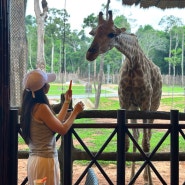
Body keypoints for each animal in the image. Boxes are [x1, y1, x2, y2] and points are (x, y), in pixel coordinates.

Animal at [85, 10, 162, 184]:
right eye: (94, 32)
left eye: (111, 34)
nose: (90, 54)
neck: (133, 60)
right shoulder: (124, 103)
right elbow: (126, 143)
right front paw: (129, 177)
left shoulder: (146, 104)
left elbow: (146, 144)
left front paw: (149, 180)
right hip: (135, 107)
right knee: (137, 136)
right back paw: (134, 175)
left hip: (154, 106)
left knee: (148, 137)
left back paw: (146, 177)